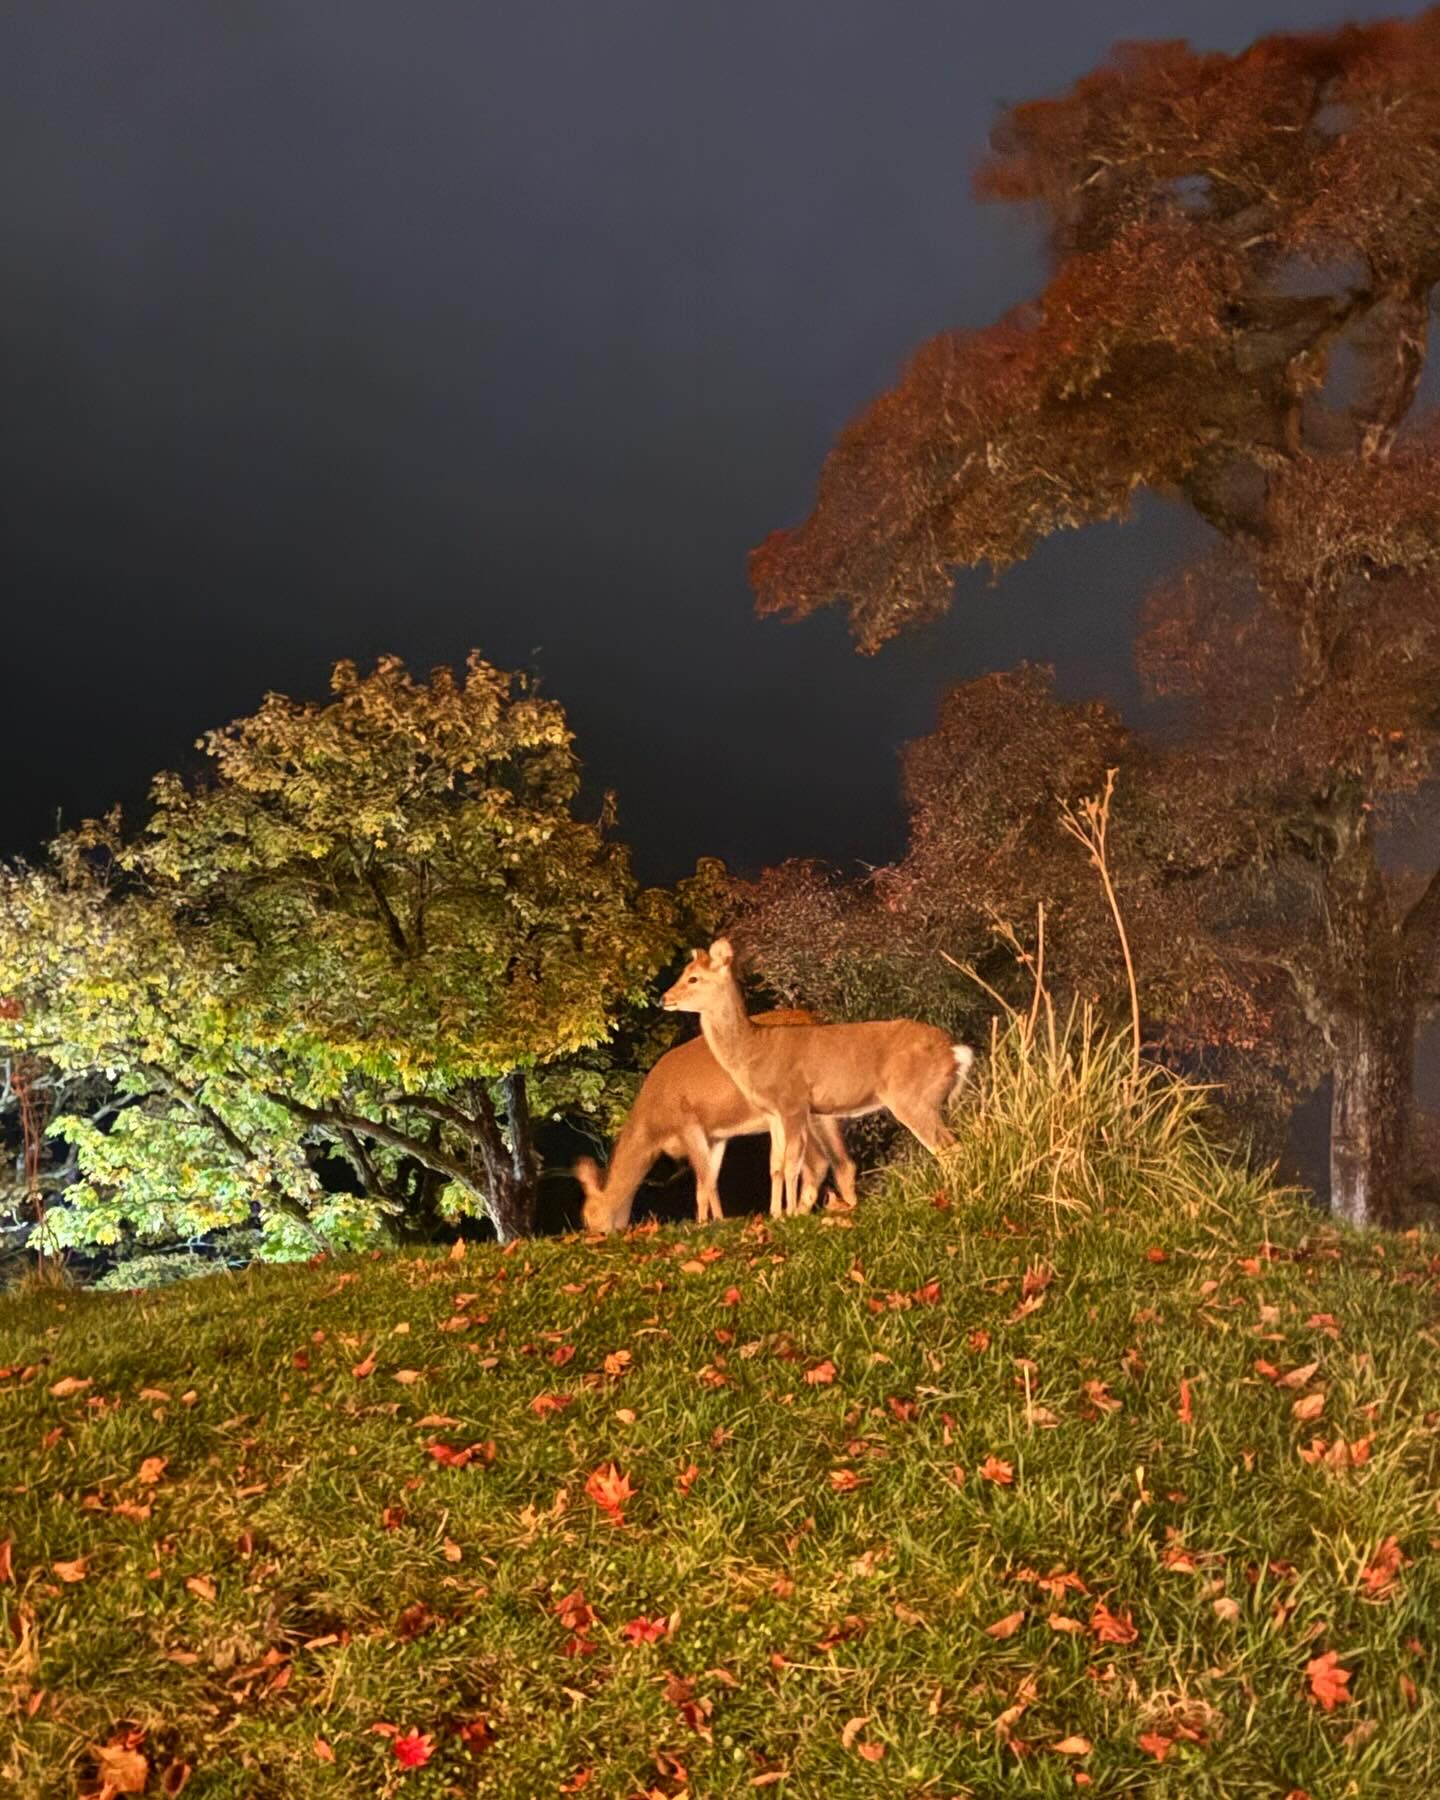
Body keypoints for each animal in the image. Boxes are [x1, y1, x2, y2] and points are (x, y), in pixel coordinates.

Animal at [572, 1008, 856, 1231]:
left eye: (587, 1216)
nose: (594, 1236)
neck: (654, 1125)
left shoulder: (689, 1123)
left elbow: (705, 1181)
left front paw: (710, 1222)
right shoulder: (717, 1135)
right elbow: (709, 1181)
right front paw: (711, 1219)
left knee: (817, 1161)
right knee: (835, 1159)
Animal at [662, 943, 979, 1224]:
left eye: (693, 977)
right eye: (685, 972)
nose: (664, 998)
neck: (755, 1049)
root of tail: (955, 1051)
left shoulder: (793, 1103)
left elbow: (792, 1162)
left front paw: (789, 1214)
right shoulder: (773, 1113)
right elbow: (775, 1165)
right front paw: (776, 1214)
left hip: (912, 1098)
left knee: (948, 1148)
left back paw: (956, 1201)